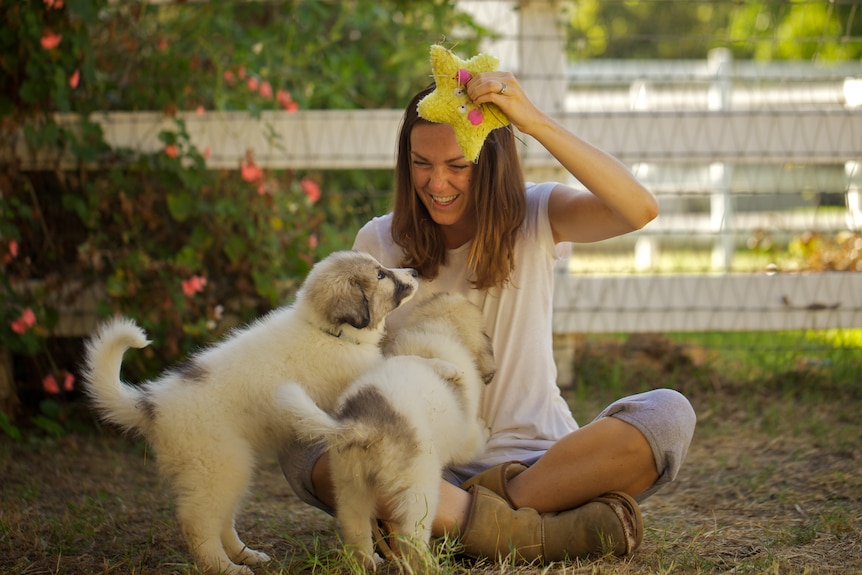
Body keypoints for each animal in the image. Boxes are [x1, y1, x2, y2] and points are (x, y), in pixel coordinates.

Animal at [82, 251, 420, 575]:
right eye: (380, 275)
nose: (415, 271)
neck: (327, 332)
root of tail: (152, 403)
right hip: (217, 466)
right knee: (200, 524)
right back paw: (225, 567)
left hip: (230, 467)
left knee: (223, 519)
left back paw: (247, 555)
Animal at [282, 294, 496, 568]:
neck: (439, 328)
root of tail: (364, 426)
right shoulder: (465, 437)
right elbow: (477, 439)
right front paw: (487, 429)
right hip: (419, 491)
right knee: (412, 538)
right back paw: (428, 565)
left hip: (350, 487)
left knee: (356, 531)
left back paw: (369, 561)